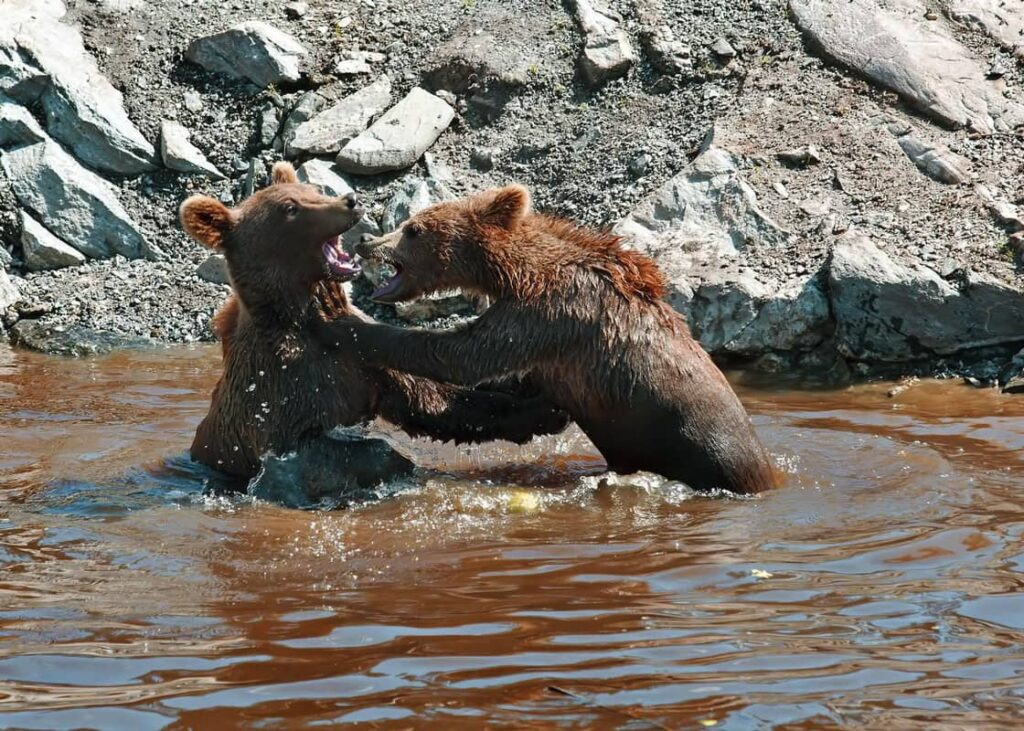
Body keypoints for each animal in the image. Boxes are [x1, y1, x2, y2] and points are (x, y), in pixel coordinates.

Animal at [180, 164, 568, 481]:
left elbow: (434, 401)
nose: (351, 200)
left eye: (313, 190)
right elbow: (314, 447)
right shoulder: (279, 392)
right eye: (291, 208)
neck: (302, 319)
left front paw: (542, 408)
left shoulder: (363, 362)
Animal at [315, 184, 776, 494]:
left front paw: (341, 320)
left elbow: (463, 353)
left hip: (695, 444)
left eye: (413, 228)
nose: (368, 240)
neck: (514, 272)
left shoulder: (548, 314)